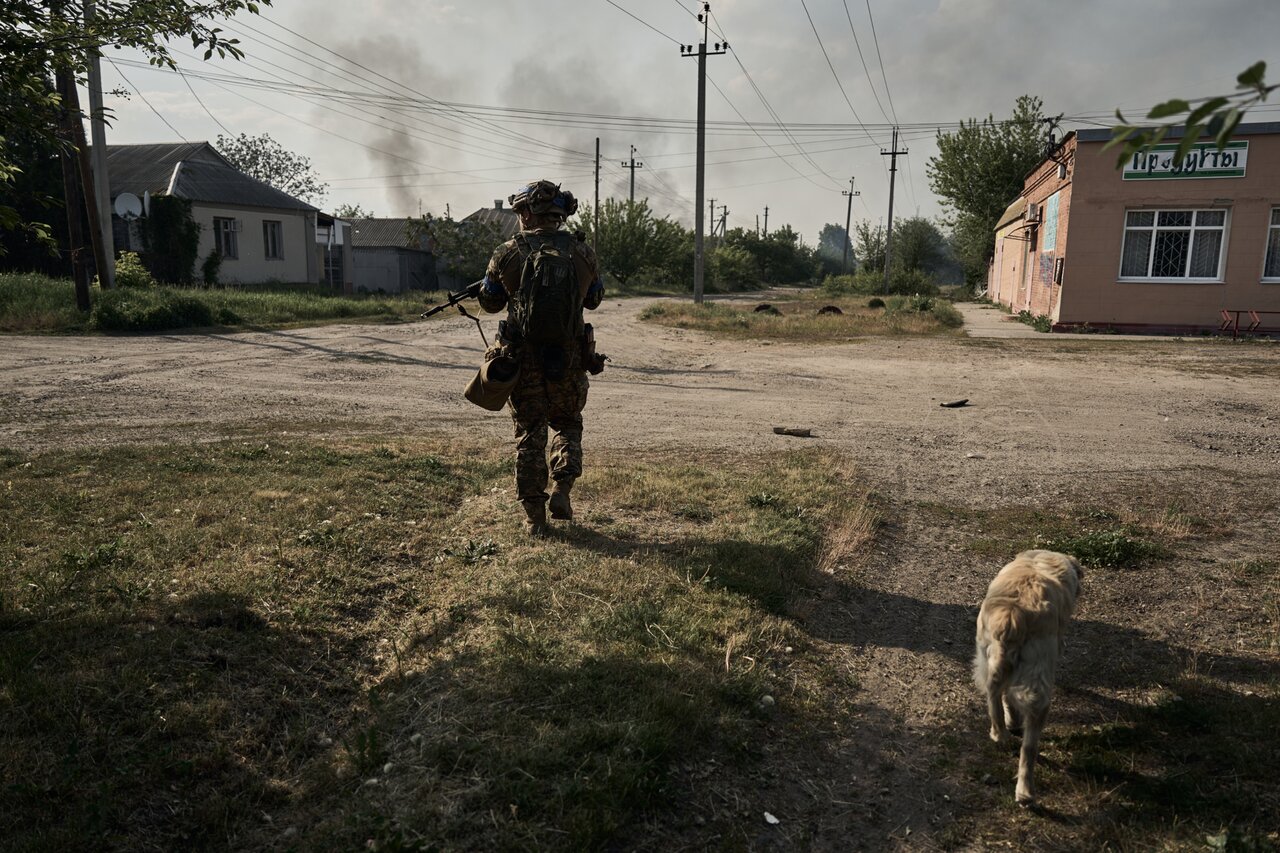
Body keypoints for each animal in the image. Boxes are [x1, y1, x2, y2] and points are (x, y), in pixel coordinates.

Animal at [972, 548, 1085, 799]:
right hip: (1037, 684)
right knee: (1029, 746)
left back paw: (1001, 734)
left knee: (994, 696)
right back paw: (1026, 793)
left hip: (988, 657)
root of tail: (1012, 617)